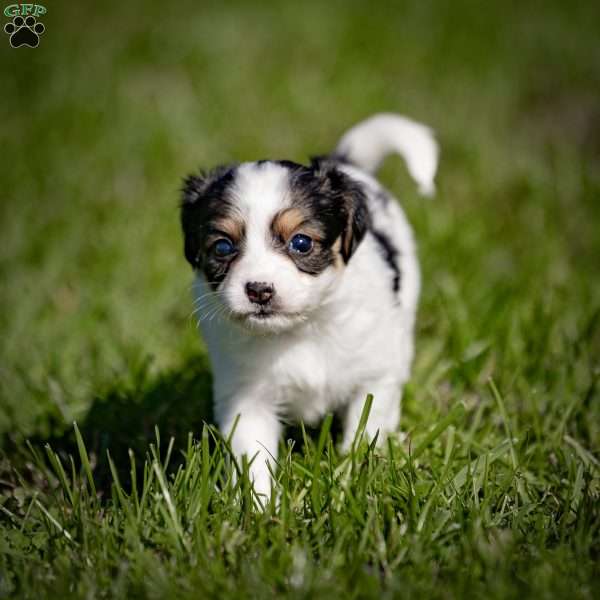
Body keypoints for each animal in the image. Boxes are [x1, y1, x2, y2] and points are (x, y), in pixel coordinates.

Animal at [178, 113, 436, 502]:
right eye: (222, 247)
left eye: (301, 243)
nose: (259, 290)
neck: (300, 329)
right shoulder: (246, 397)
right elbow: (252, 457)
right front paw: (258, 506)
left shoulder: (372, 379)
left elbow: (365, 432)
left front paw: (356, 480)